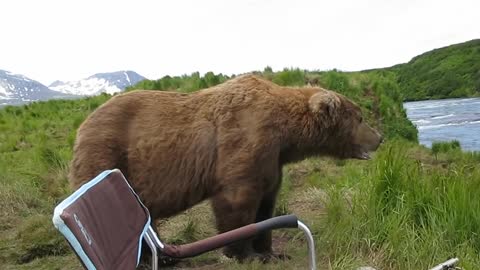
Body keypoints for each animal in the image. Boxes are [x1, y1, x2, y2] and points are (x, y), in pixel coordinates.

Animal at [68, 74, 382, 262]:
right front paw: (243, 253)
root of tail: (82, 126)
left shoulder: (272, 161)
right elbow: (237, 202)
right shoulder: (243, 142)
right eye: (360, 117)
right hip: (107, 154)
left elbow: (267, 203)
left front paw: (269, 252)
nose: (379, 137)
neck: (285, 136)